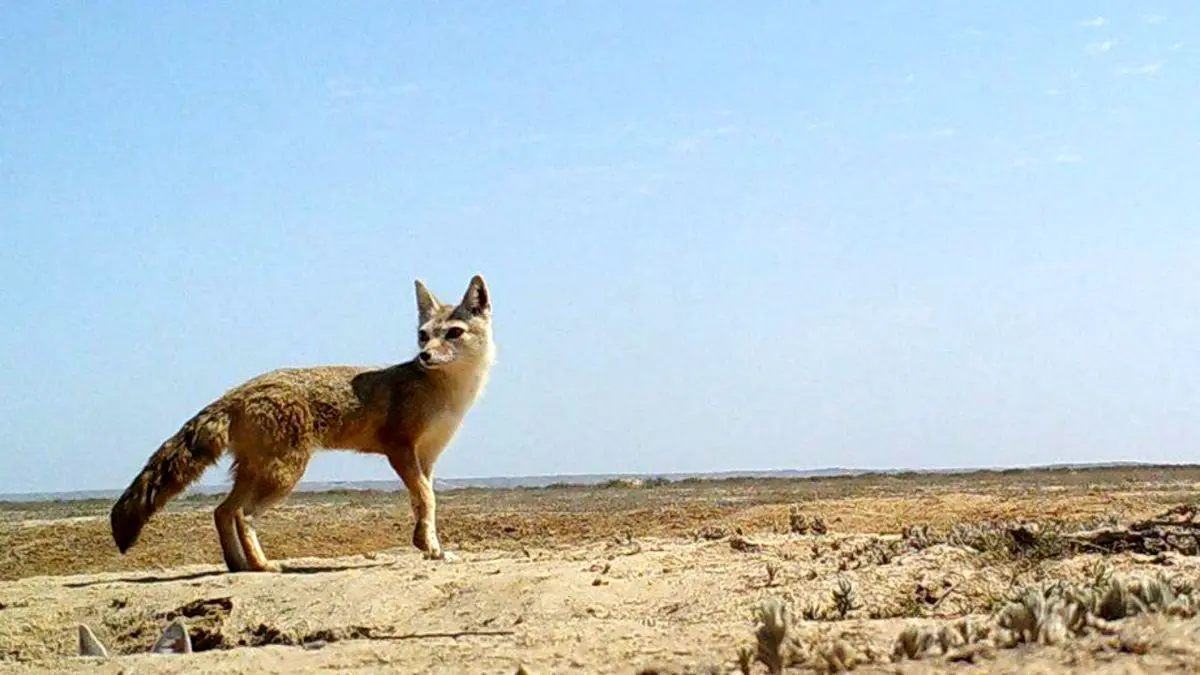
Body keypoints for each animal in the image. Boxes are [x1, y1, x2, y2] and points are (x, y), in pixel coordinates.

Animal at [108, 273, 492, 566]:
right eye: (423, 335)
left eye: (453, 333)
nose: (424, 355)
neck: (447, 393)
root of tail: (238, 391)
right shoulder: (399, 450)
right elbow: (429, 499)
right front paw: (429, 546)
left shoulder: (425, 458)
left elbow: (423, 503)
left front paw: (431, 548)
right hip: (284, 475)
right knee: (242, 514)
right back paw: (262, 566)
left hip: (257, 472)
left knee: (222, 511)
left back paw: (239, 565)